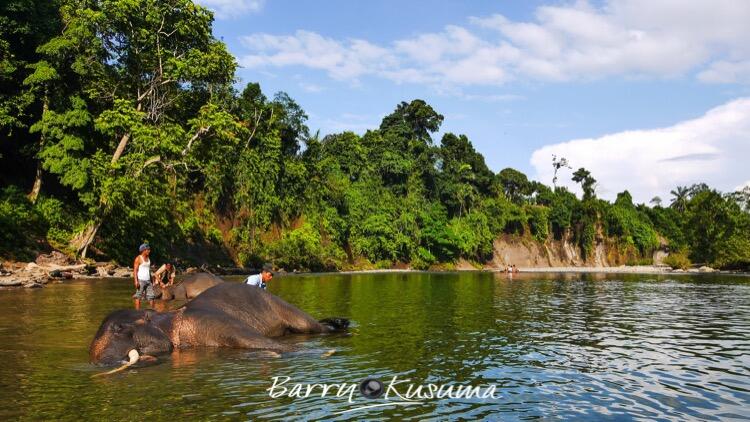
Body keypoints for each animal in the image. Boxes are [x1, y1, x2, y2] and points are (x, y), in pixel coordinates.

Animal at [92, 280, 352, 370]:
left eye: (119, 329)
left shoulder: (211, 321)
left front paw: (325, 353)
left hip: (284, 307)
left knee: (312, 327)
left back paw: (340, 324)